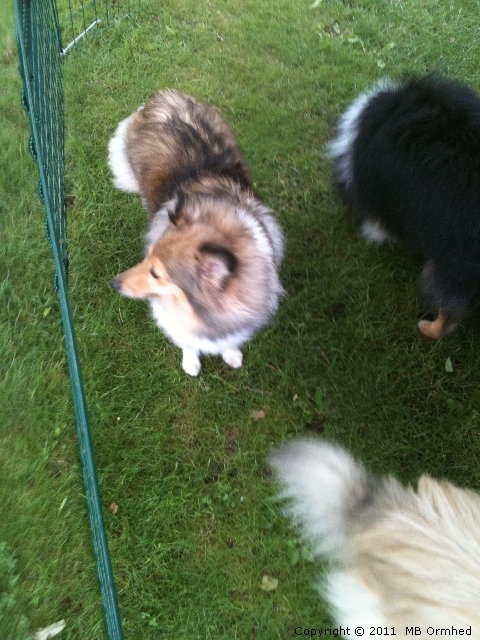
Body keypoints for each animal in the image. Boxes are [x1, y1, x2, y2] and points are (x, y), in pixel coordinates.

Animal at [107, 92, 284, 378]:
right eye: (148, 257)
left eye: (156, 273)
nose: (114, 284)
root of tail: (162, 95)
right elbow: (186, 340)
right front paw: (191, 361)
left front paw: (231, 354)